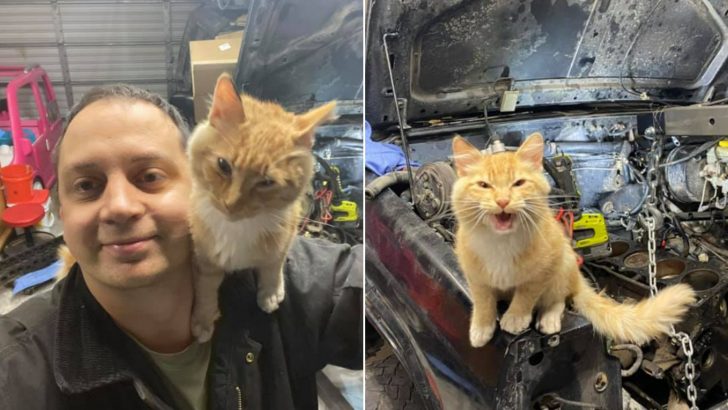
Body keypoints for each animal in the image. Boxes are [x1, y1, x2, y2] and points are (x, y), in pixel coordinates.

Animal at [186, 72, 336, 342]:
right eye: (223, 165)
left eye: (266, 182)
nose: (230, 204)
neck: (237, 229)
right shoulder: (203, 256)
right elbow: (205, 288)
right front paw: (203, 318)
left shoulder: (286, 233)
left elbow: (273, 264)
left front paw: (270, 292)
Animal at [452, 133, 696, 348]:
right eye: (484, 185)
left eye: (518, 183)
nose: (502, 201)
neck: (501, 243)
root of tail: (578, 278)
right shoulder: (474, 275)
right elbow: (482, 301)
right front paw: (481, 328)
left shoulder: (543, 269)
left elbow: (525, 295)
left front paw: (515, 317)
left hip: (563, 264)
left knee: (558, 299)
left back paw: (549, 318)